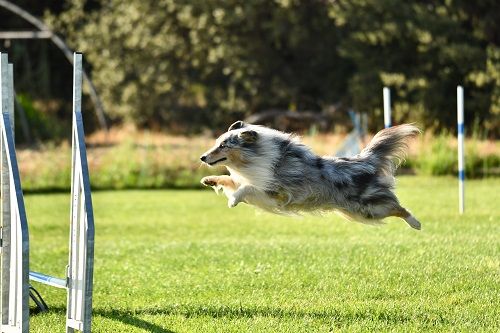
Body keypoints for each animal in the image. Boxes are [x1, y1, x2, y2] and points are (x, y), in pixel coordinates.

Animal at [199, 120, 422, 230]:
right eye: (217, 143)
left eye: (223, 146)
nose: (202, 157)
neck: (254, 158)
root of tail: (364, 160)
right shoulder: (255, 185)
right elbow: (231, 180)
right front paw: (209, 180)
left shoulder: (277, 192)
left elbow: (246, 187)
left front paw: (233, 200)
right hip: (354, 212)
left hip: (368, 208)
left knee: (398, 207)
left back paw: (416, 224)